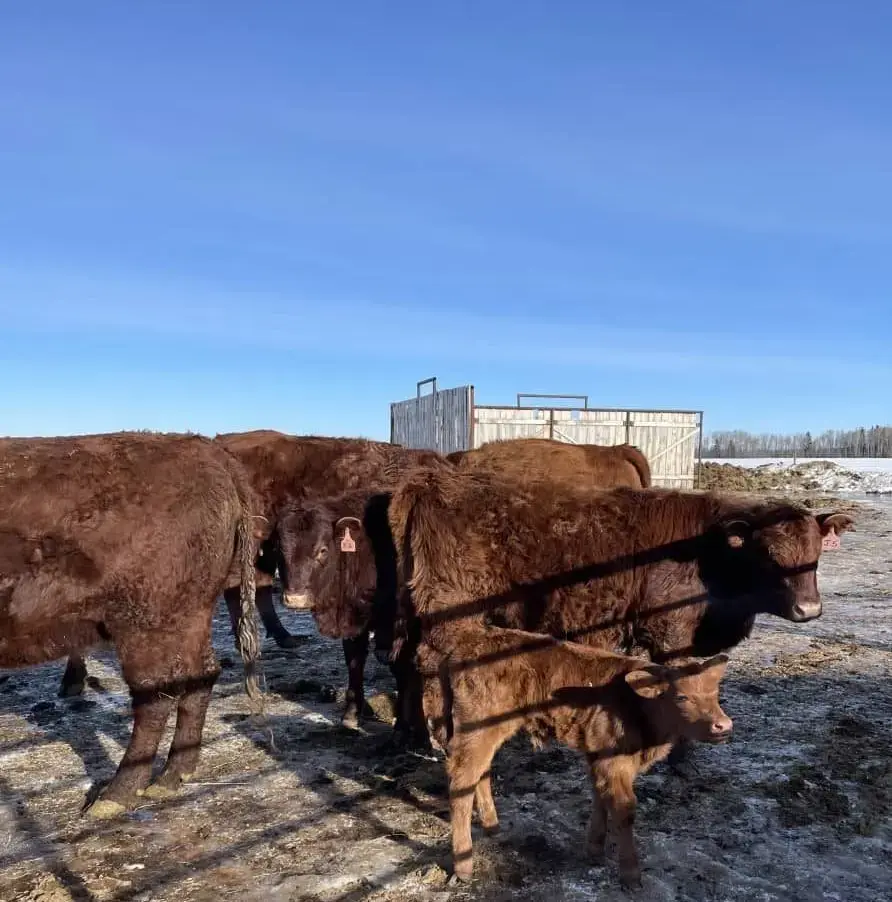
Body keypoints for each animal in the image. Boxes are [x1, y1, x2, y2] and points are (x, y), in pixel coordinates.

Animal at [0, 432, 263, 818]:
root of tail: (205, 448)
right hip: (190, 617)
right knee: (200, 676)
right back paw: (173, 775)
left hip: (143, 626)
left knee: (153, 698)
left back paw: (115, 794)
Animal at [375, 467, 854, 762]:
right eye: (770, 556)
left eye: (816, 554)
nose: (809, 610)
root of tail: (429, 481)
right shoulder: (670, 633)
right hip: (452, 612)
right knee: (430, 665)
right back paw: (440, 737)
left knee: (407, 664)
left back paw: (406, 733)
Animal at [418, 626, 732, 887]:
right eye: (681, 697)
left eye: (715, 693)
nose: (724, 725)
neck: (637, 705)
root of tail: (465, 645)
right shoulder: (614, 762)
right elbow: (624, 809)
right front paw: (630, 874)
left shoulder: (598, 756)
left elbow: (601, 798)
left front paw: (594, 850)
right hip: (477, 728)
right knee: (461, 781)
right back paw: (464, 867)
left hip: (487, 733)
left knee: (479, 773)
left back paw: (493, 827)